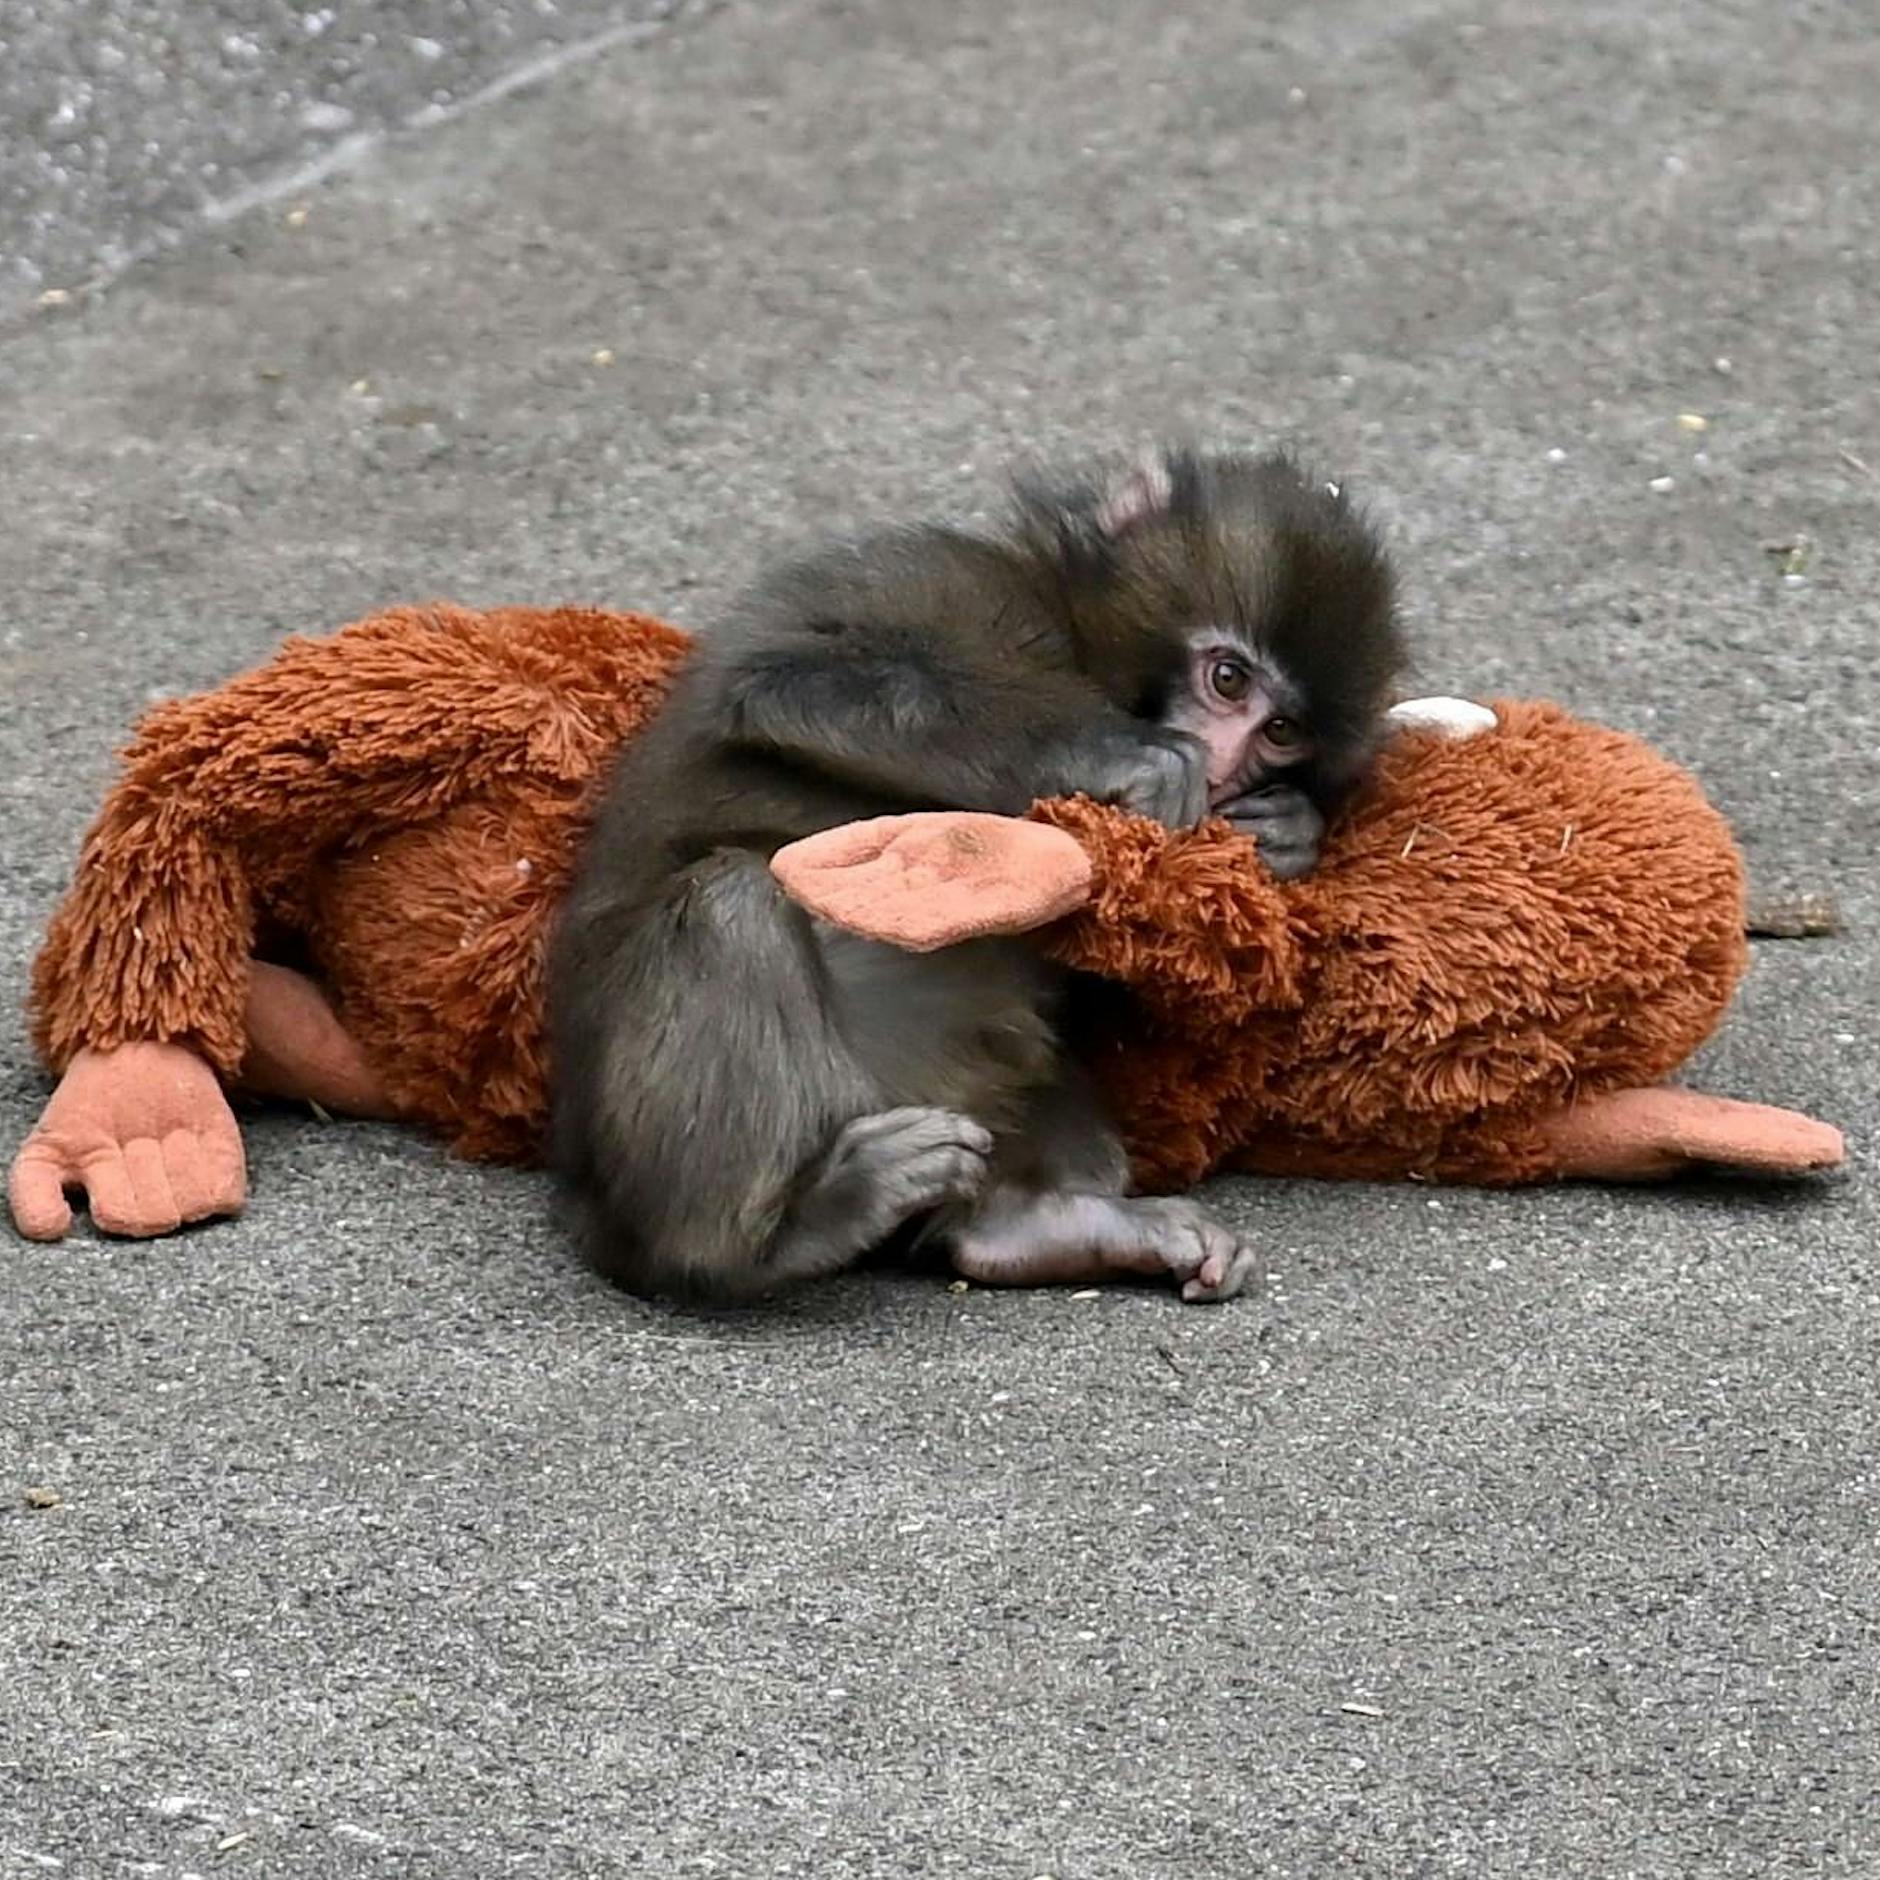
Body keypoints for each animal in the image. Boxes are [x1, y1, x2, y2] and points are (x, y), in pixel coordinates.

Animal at [548, 447, 1405, 1307]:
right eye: (1227, 679)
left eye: (1281, 731)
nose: (1227, 768)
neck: (1068, 637)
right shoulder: (939, 577)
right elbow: (789, 682)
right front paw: (1127, 754)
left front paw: (1289, 832)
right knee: (729, 904)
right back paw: (763, 1237)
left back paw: (1030, 1228)